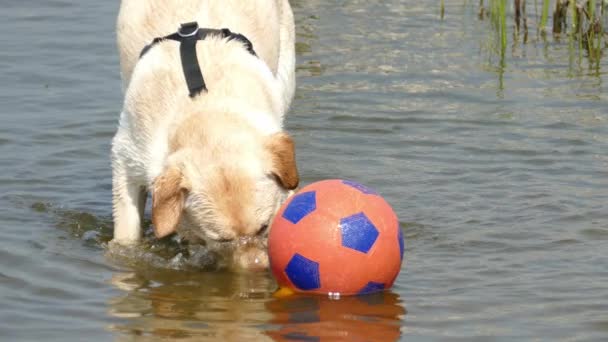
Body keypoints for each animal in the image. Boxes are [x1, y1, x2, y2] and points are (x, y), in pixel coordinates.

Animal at [112, 0, 300, 270]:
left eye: (264, 228)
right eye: (222, 240)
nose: (257, 269)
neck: (204, 107)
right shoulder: (126, 158)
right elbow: (127, 230)